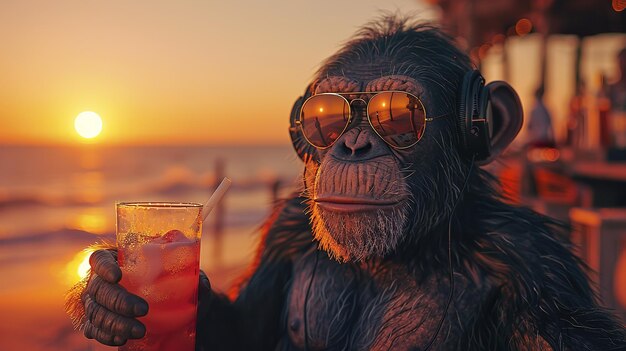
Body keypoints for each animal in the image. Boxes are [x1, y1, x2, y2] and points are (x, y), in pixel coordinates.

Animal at [67, 14, 624, 351]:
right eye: (325, 116)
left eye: (398, 116)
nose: (353, 145)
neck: (398, 252)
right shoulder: (287, 227)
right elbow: (247, 330)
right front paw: (106, 294)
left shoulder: (535, 270)